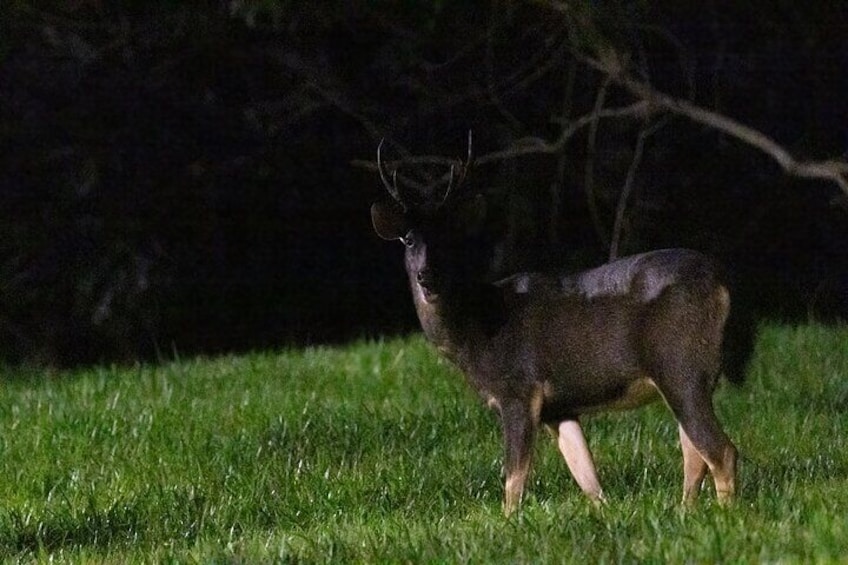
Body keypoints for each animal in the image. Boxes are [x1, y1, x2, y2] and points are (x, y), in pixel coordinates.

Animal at [368, 134, 740, 512]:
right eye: (409, 239)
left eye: (451, 239)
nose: (426, 276)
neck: (475, 328)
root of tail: (720, 282)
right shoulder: (559, 406)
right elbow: (588, 477)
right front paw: (602, 513)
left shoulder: (518, 389)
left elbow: (513, 479)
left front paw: (509, 519)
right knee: (694, 452)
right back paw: (685, 510)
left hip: (679, 363)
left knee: (720, 450)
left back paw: (724, 513)